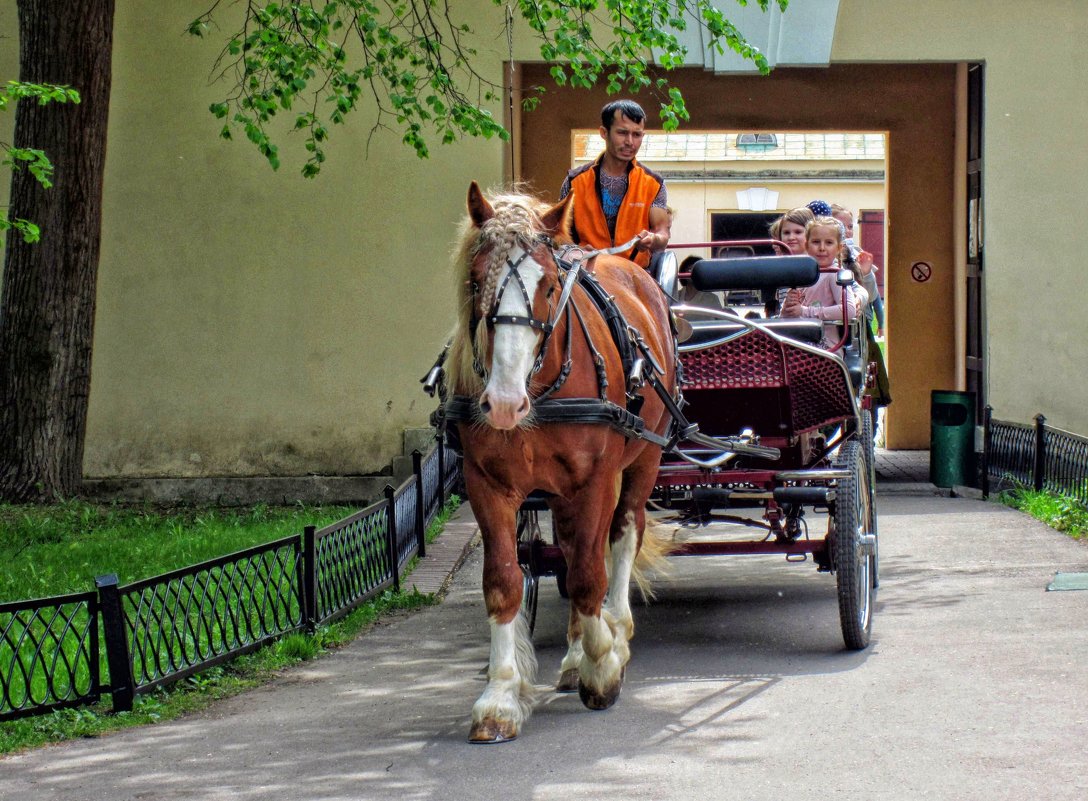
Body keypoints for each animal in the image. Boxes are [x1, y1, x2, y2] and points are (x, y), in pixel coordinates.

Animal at [446, 182, 674, 744]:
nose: (504, 403)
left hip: (644, 460)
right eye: (476, 280)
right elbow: (505, 581)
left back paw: (614, 632)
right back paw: (573, 656)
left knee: (621, 537)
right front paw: (501, 695)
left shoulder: (596, 481)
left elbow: (593, 575)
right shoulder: (488, 485)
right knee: (570, 555)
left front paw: (604, 665)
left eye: (549, 287)